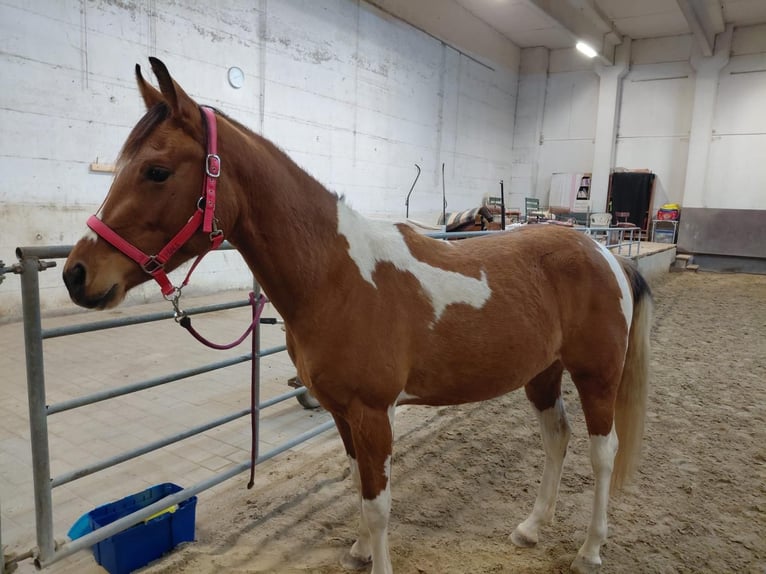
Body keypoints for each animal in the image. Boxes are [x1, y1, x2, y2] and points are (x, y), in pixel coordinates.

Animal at [63, 58, 652, 574]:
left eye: (156, 171)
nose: (76, 274)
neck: (335, 276)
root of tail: (606, 255)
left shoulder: (372, 413)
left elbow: (378, 501)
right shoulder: (341, 411)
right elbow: (357, 484)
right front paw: (360, 551)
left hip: (596, 376)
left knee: (603, 453)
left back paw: (590, 551)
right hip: (542, 374)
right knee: (557, 438)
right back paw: (530, 528)